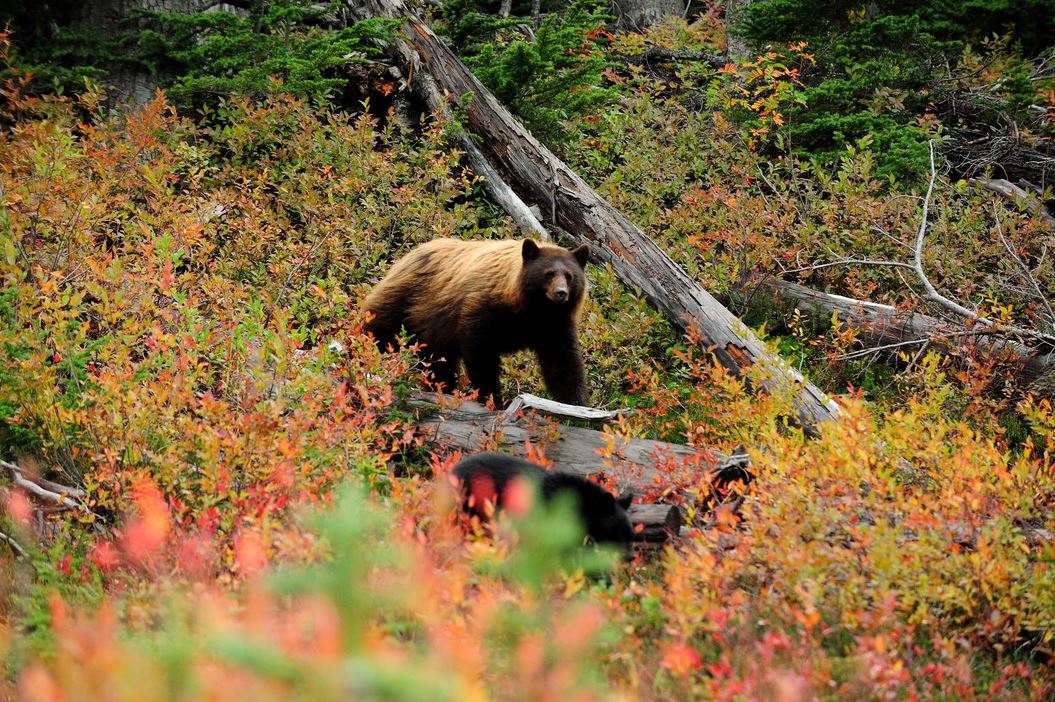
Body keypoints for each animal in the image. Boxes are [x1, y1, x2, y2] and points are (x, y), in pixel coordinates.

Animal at [367, 238, 590, 405]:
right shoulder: (484, 308)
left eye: (569, 275)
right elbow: (481, 351)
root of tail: (408, 256)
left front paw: (576, 404)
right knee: (378, 330)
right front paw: (493, 398)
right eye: (548, 274)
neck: (532, 308)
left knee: (438, 363)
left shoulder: (554, 324)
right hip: (405, 302)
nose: (561, 293)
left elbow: (562, 361)